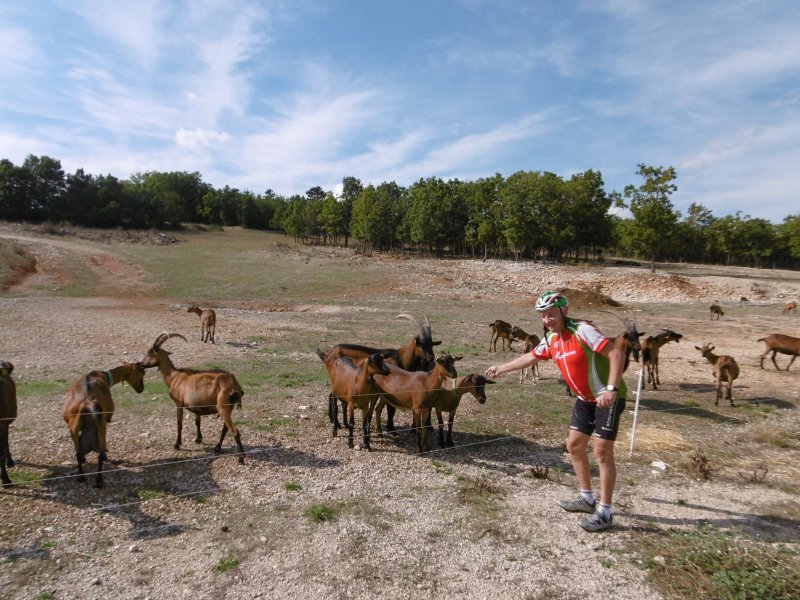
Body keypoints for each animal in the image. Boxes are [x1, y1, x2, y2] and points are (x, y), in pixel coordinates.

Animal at [61, 360, 146, 488]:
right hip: (101, 425)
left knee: (79, 453)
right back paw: (99, 480)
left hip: (75, 428)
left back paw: (82, 477)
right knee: (100, 454)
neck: (104, 376)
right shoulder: (107, 418)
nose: (141, 389)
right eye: (141, 373)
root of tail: (87, 403)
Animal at [138, 332, 244, 464]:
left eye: (150, 352)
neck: (173, 377)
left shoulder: (178, 404)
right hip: (229, 407)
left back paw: (241, 458)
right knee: (226, 428)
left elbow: (179, 423)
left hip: (223, 407)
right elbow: (197, 422)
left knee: (235, 431)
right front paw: (198, 439)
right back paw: (217, 448)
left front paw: (177, 444)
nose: (140, 364)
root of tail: (233, 383)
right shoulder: (197, 406)